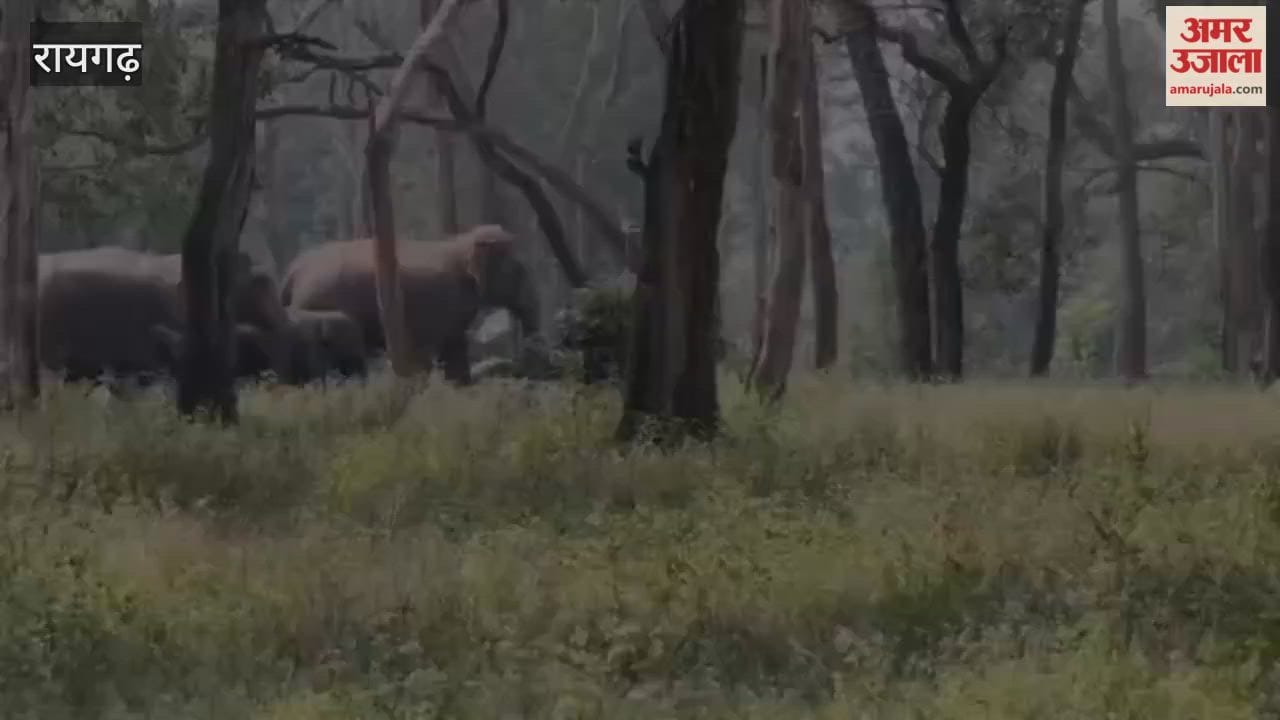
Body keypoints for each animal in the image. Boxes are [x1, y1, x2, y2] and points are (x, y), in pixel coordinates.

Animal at [280, 225, 541, 384]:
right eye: (520, 271)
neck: (461, 244)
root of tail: (294, 269)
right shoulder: (439, 301)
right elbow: (435, 350)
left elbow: (453, 346)